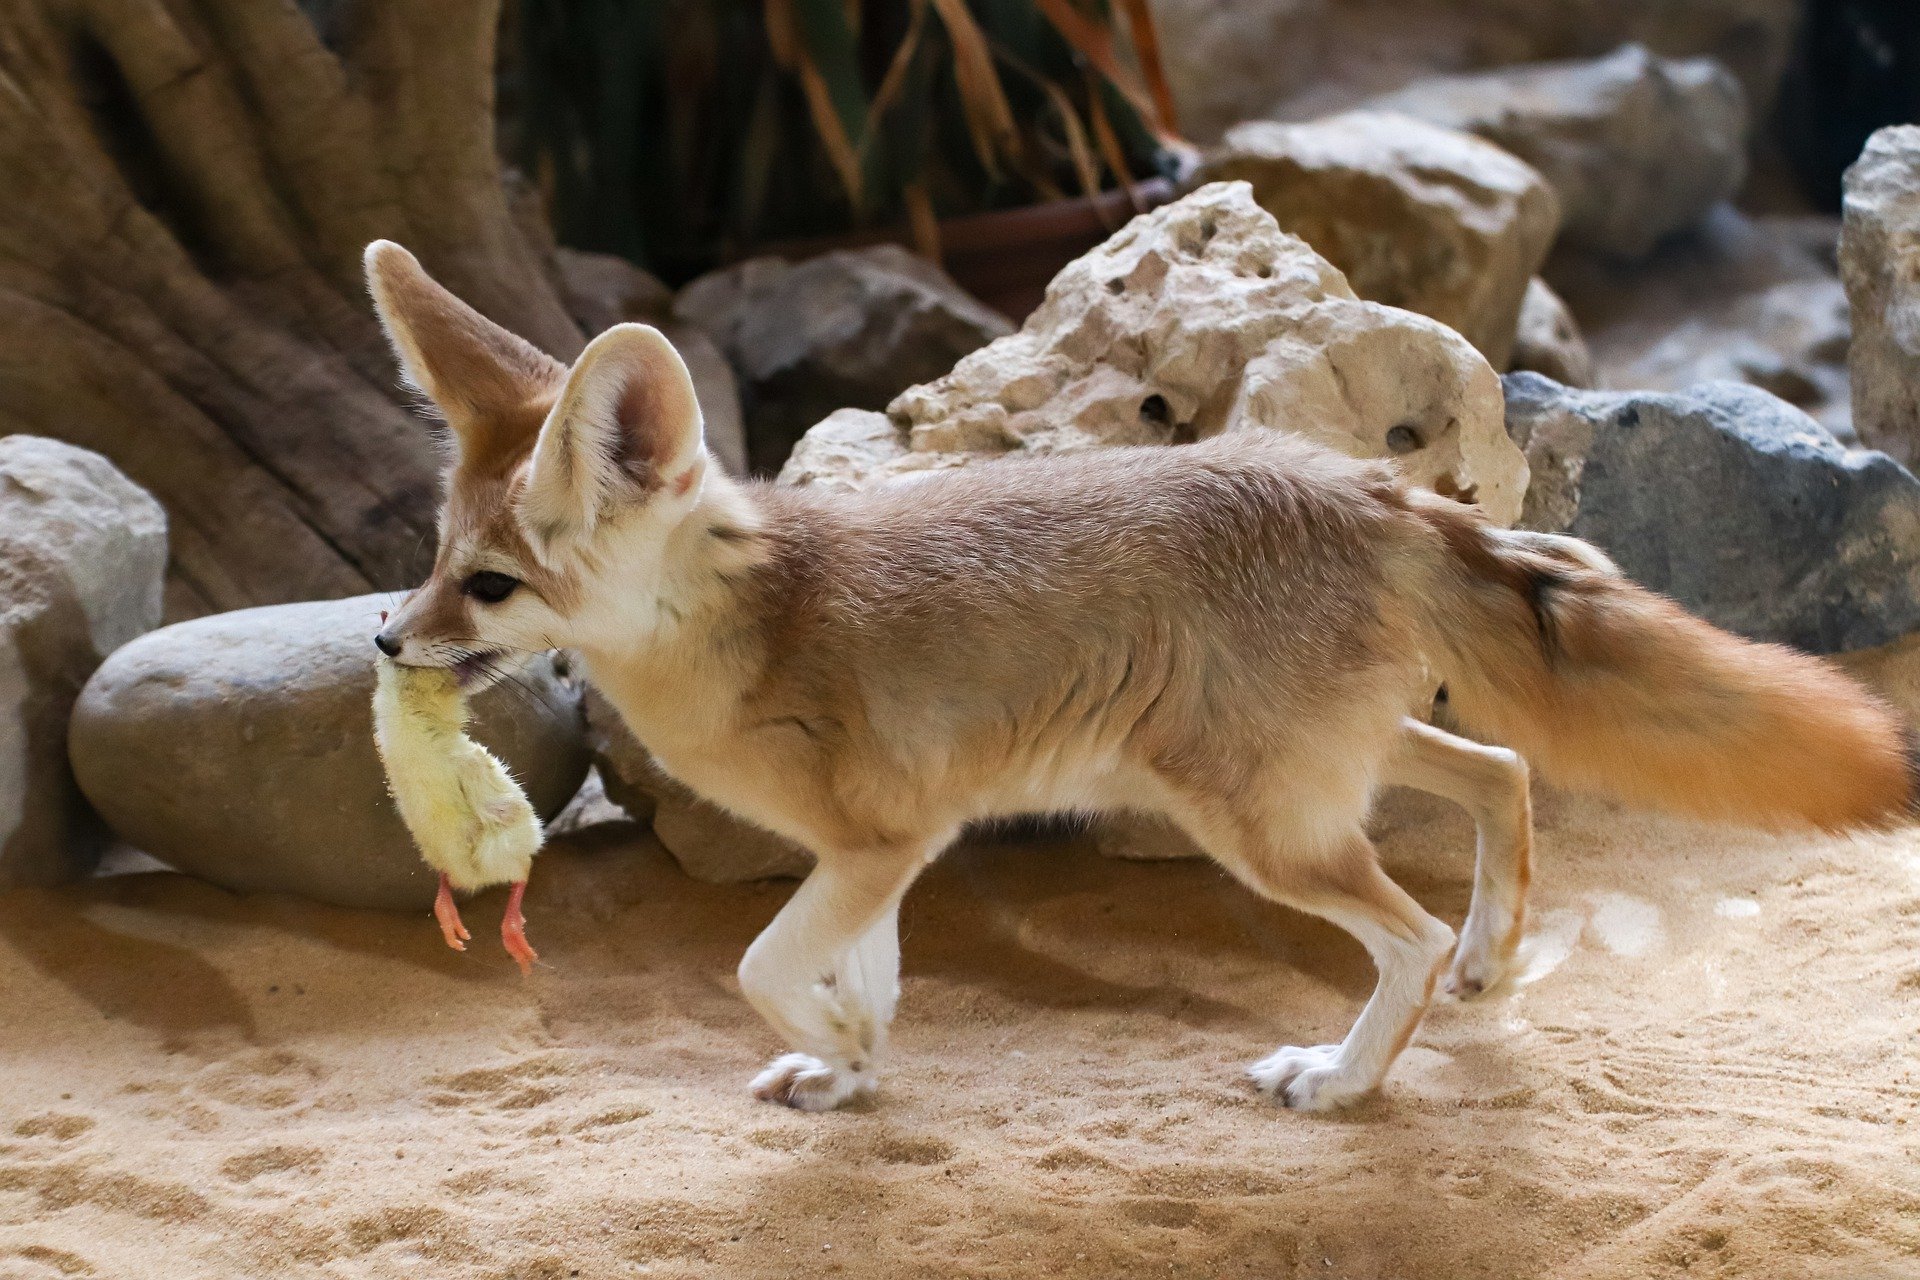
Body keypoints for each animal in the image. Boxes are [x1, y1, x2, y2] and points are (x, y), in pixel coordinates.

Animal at [366, 239, 1912, 1113]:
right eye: (435, 557)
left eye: (490, 587)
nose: (385, 639)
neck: (753, 619)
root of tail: (1367, 490)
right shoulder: (880, 858)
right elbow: (860, 977)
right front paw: (854, 1066)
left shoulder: (881, 844)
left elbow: (761, 964)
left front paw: (839, 1044)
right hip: (1325, 768)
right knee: (1503, 771)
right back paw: (1489, 957)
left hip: (1256, 823)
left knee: (1405, 929)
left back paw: (1346, 1080)